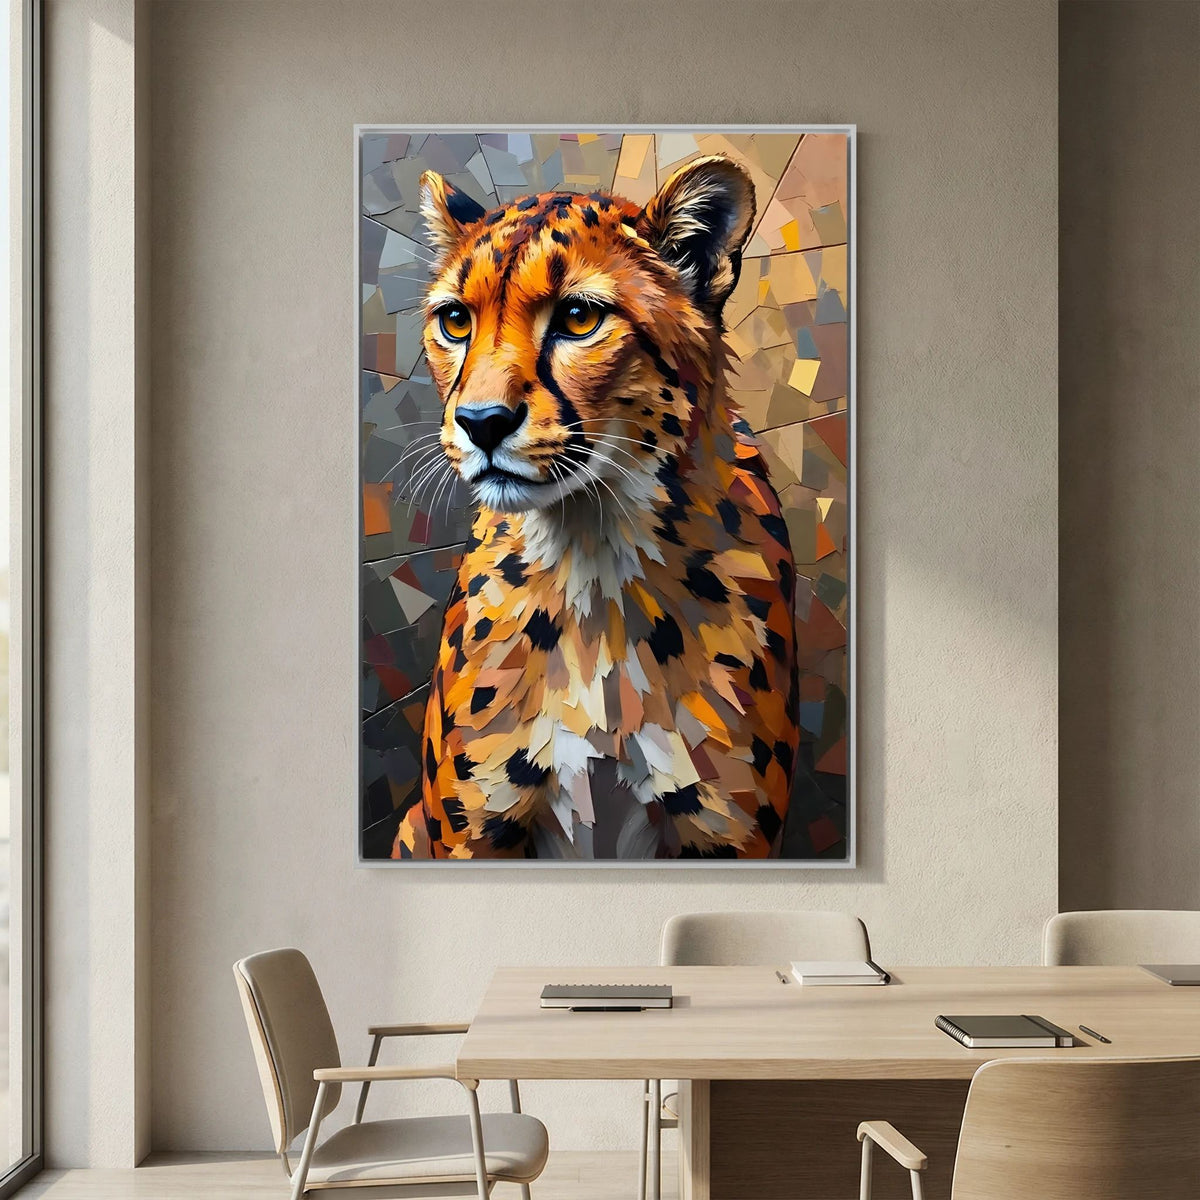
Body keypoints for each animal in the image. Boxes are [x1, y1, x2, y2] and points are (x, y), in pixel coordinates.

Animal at [391, 153, 799, 860]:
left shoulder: (727, 835)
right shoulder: (473, 835)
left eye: (580, 317)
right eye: (456, 321)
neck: (592, 549)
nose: (481, 422)